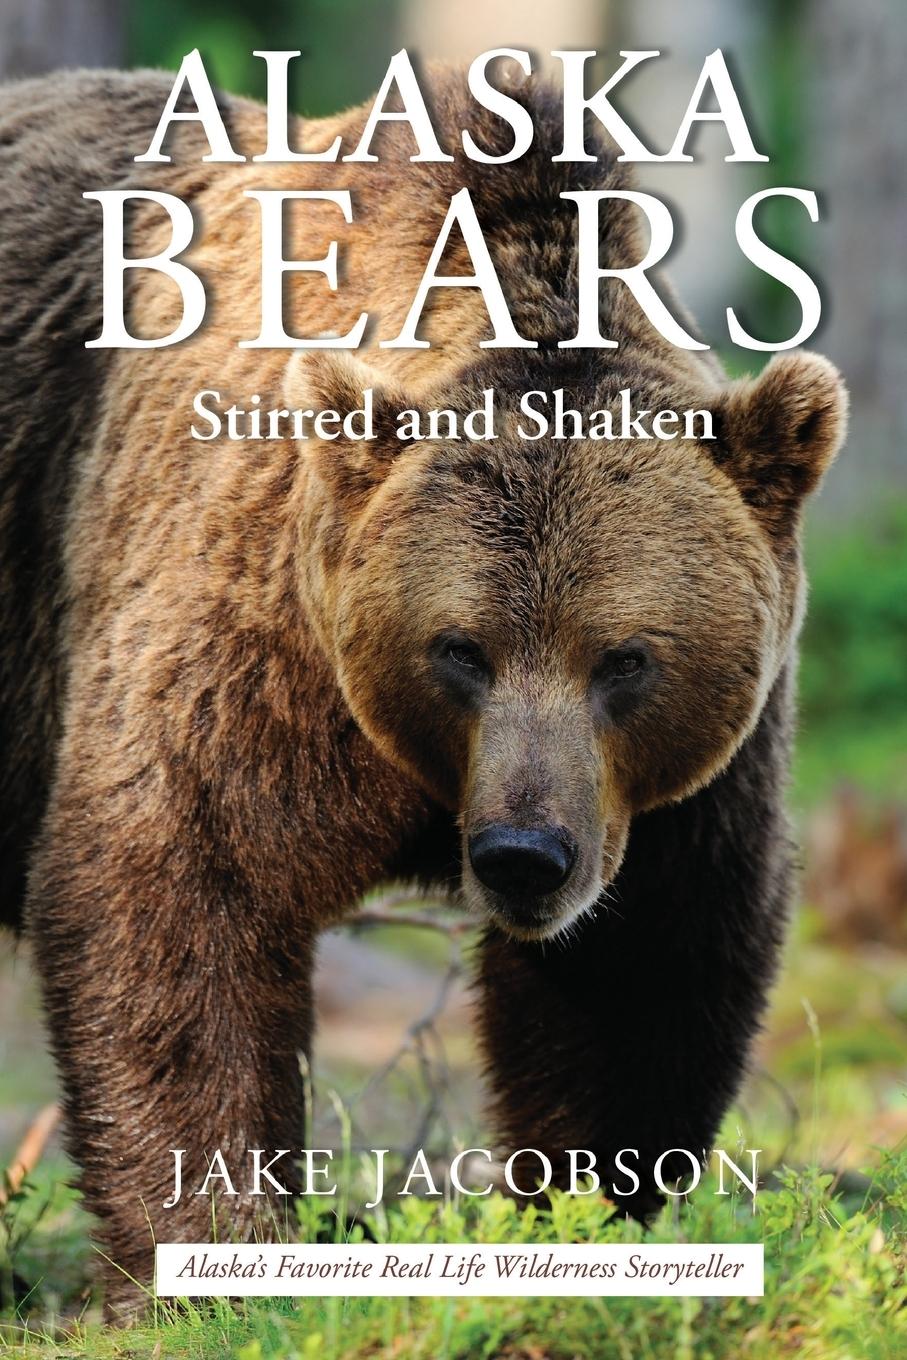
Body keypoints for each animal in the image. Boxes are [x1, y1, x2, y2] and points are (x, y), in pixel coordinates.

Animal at [0, 65, 847, 1318]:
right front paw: (211, 1259)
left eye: (625, 657)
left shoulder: (686, 783)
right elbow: (179, 883)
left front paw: (592, 1218)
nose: (522, 855)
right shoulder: (251, 626)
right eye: (460, 648)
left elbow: (640, 967)